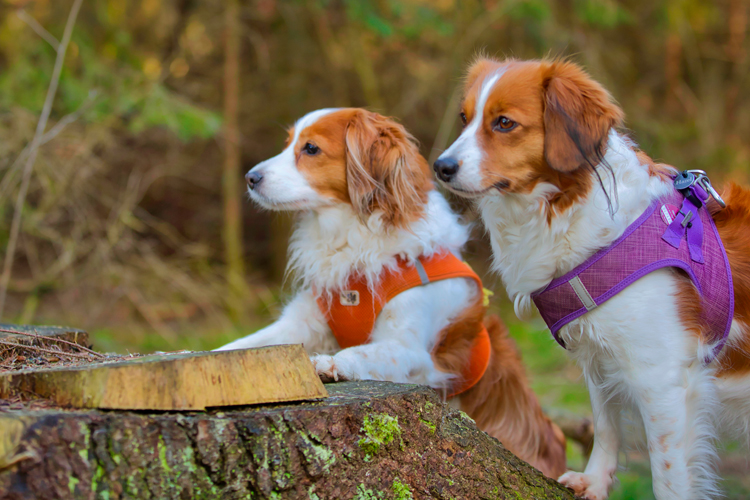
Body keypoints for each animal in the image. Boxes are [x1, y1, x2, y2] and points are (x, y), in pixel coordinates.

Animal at [220, 108, 568, 476]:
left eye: (311, 148)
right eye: (288, 143)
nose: (250, 177)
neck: (353, 243)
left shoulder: (412, 352)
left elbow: (362, 353)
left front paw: (328, 363)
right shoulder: (299, 324)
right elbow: (241, 347)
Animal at [434, 55, 750, 500]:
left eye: (504, 123)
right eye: (464, 118)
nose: (441, 167)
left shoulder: (664, 380)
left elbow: (668, 475)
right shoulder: (597, 353)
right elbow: (604, 421)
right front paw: (595, 481)